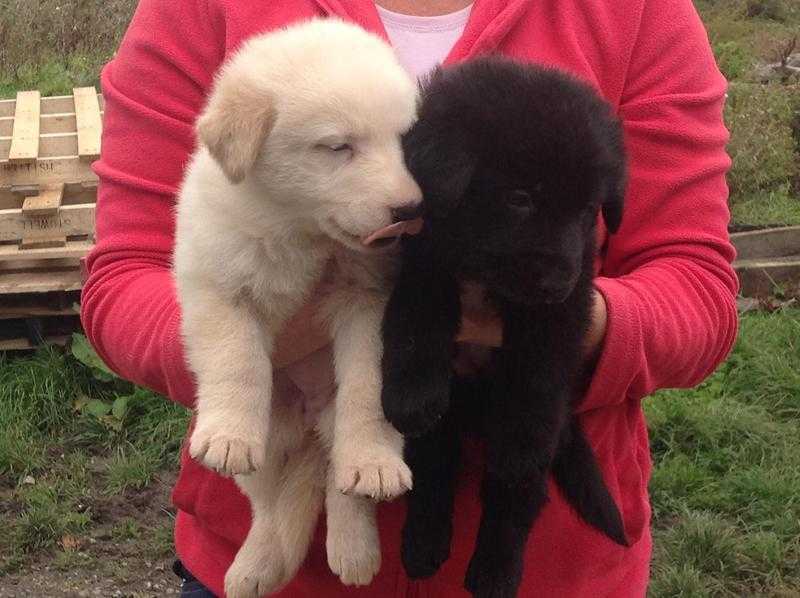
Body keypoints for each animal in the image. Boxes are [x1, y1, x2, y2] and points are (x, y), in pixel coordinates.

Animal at [173, 18, 424, 598]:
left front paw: (375, 458)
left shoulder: (368, 301)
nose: (410, 209)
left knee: (342, 481)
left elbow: (368, 386)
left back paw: (357, 538)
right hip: (275, 430)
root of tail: (310, 424)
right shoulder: (216, 282)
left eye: (404, 140)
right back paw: (257, 564)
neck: (298, 230)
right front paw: (226, 434)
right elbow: (237, 359)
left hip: (329, 423)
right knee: (268, 503)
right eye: (338, 146)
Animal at [382, 58, 632, 598]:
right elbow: (414, 324)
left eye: (588, 210)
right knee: (433, 476)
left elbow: (536, 379)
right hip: (444, 430)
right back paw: (424, 548)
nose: (556, 280)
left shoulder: (563, 311)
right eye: (520, 198)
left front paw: (519, 440)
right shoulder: (422, 261)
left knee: (514, 498)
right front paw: (411, 396)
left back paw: (494, 572)